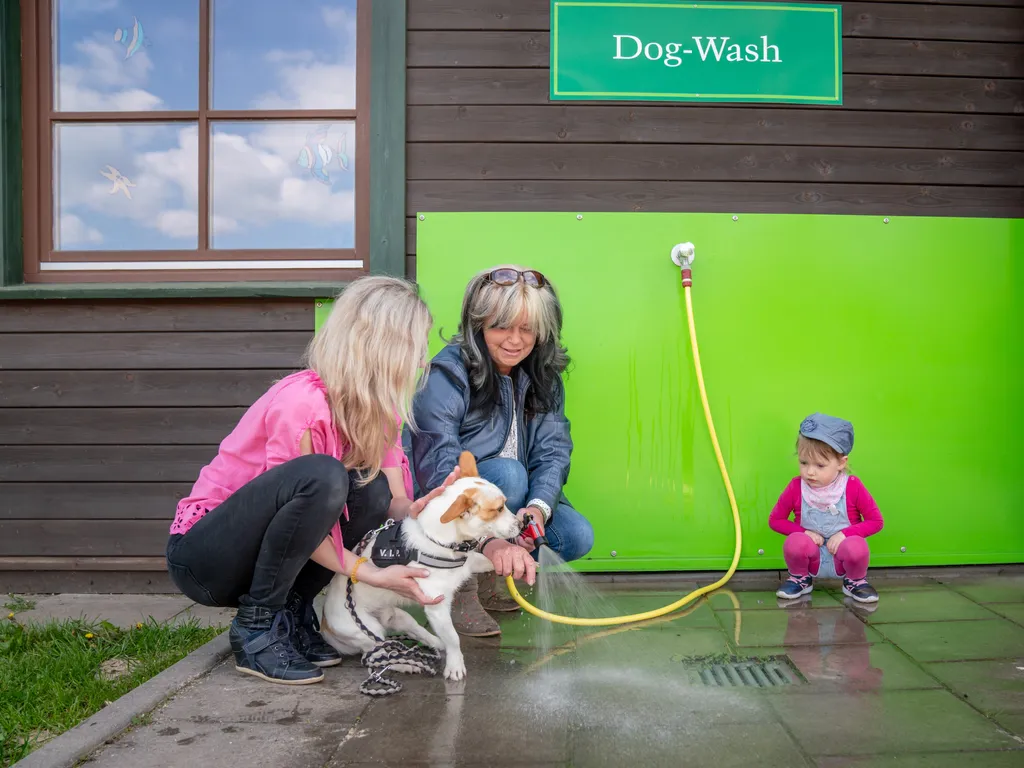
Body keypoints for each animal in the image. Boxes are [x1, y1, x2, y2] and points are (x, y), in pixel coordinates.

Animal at [321, 450, 520, 679]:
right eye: (498, 509)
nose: (523, 523)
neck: (447, 543)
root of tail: (325, 624)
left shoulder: (470, 564)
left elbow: (488, 561)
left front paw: (517, 559)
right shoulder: (437, 607)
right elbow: (454, 638)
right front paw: (455, 665)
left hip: (397, 617)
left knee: (414, 632)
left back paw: (434, 643)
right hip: (368, 632)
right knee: (376, 656)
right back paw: (405, 664)